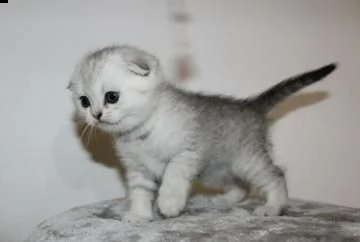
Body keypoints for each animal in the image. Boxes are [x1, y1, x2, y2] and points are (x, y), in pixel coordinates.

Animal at [67, 45, 338, 223]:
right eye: (84, 102)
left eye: (112, 97)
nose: (96, 115)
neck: (141, 133)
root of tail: (250, 106)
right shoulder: (138, 169)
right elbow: (140, 192)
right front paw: (140, 215)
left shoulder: (187, 152)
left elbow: (172, 177)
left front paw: (169, 203)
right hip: (215, 171)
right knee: (241, 187)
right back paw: (224, 200)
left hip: (246, 160)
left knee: (275, 175)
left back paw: (273, 207)